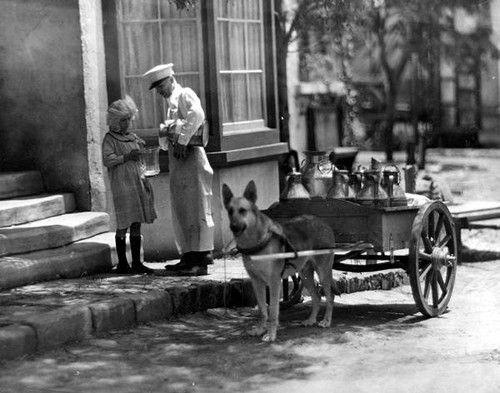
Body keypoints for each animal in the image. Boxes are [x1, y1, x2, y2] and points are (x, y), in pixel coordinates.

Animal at [223, 180, 340, 340]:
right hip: (305, 275)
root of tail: (323, 222)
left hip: (323, 273)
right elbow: (262, 310)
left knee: (330, 297)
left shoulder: (274, 282)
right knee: (316, 297)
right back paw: (311, 320)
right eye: (230, 211)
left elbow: (272, 312)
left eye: (242, 210)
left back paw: (326, 321)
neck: (256, 242)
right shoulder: (256, 282)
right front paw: (260, 329)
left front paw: (271, 335)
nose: (233, 227)